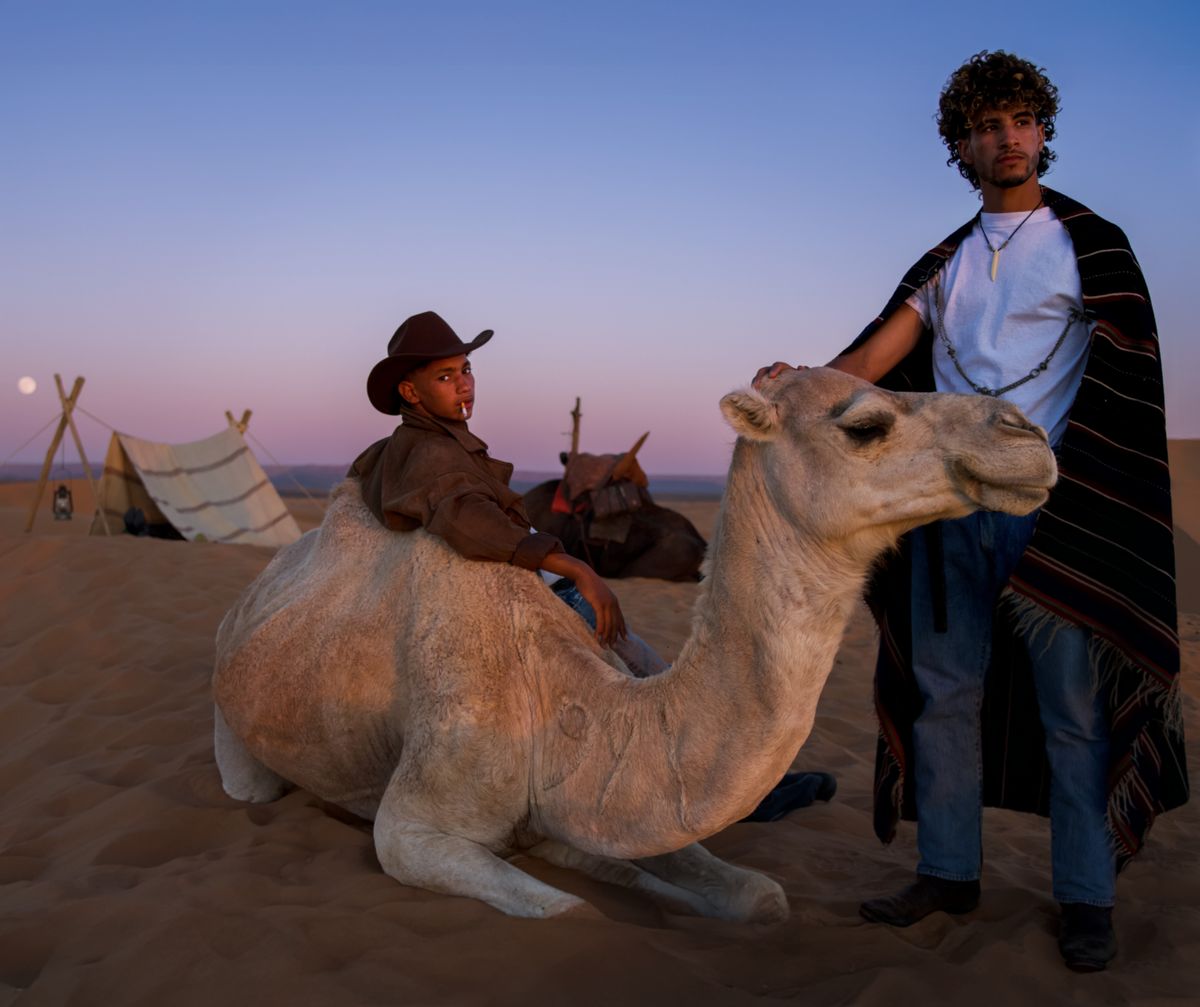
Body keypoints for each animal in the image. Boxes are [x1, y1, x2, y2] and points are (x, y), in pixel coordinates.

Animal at [212, 367, 1057, 921]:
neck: (557, 697)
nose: (1027, 433)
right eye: (866, 424)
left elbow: (762, 896)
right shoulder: (412, 826)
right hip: (236, 718)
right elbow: (570, 912)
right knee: (250, 787)